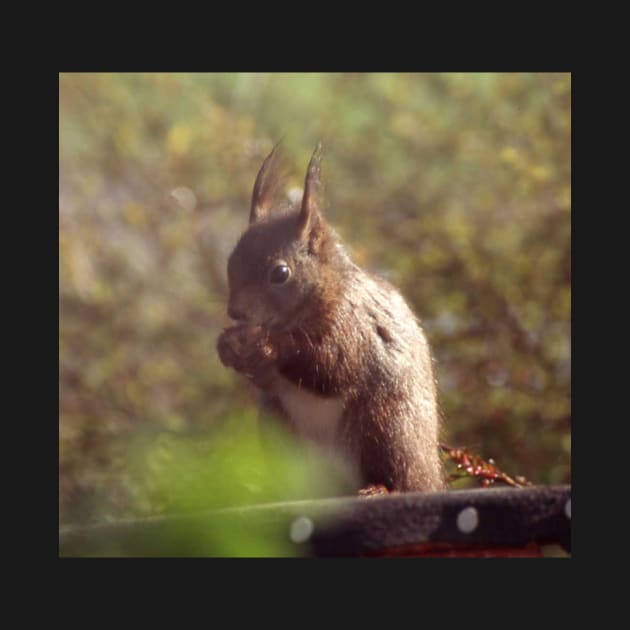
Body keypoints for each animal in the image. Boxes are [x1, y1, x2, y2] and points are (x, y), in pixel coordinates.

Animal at [220, 146, 446, 496]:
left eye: (280, 273)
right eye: (231, 263)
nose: (236, 313)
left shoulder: (354, 328)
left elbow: (332, 367)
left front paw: (269, 345)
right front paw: (228, 346)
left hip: (385, 423)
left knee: (396, 475)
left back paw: (379, 488)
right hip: (279, 428)